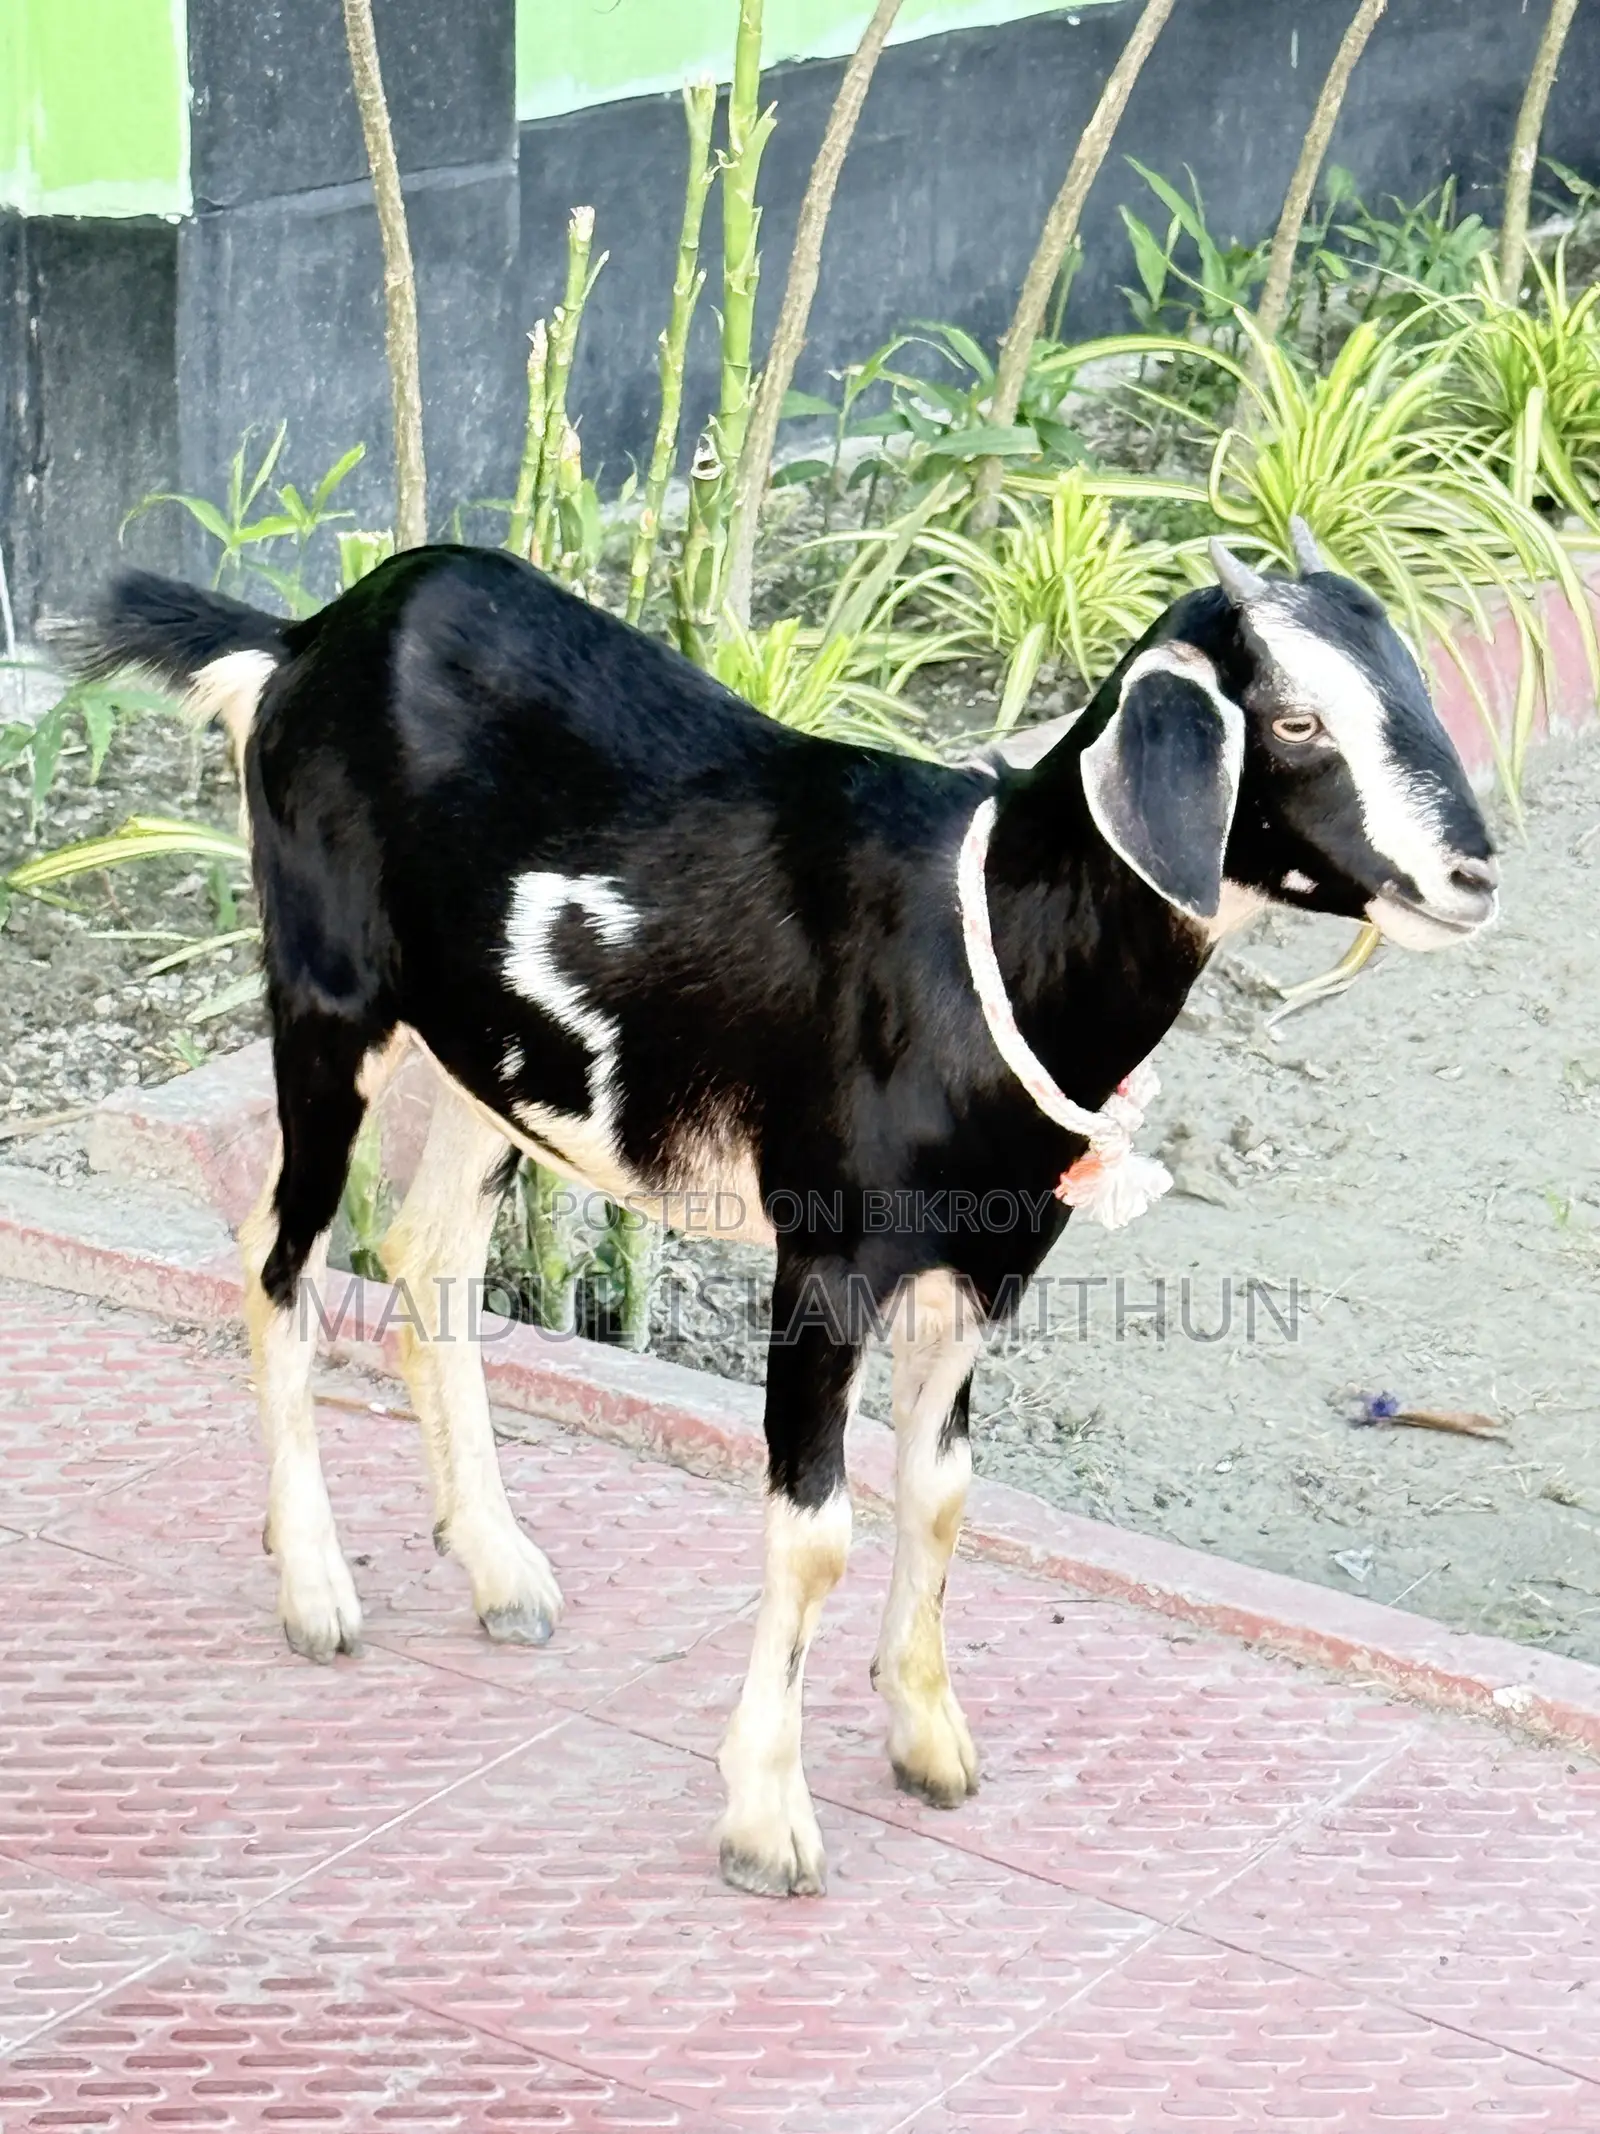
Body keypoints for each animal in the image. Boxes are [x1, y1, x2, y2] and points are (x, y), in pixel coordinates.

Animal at [85, 523, 1496, 1897]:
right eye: (1296, 720)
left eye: (1409, 681)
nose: (1472, 871)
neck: (984, 938)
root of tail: (303, 638)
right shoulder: (825, 1257)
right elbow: (816, 1532)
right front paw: (768, 1823)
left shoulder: (982, 1265)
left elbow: (940, 1492)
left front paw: (928, 1739)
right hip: (328, 994)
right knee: (277, 1261)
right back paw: (316, 1590)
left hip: (493, 1060)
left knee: (426, 1256)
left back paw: (500, 1572)